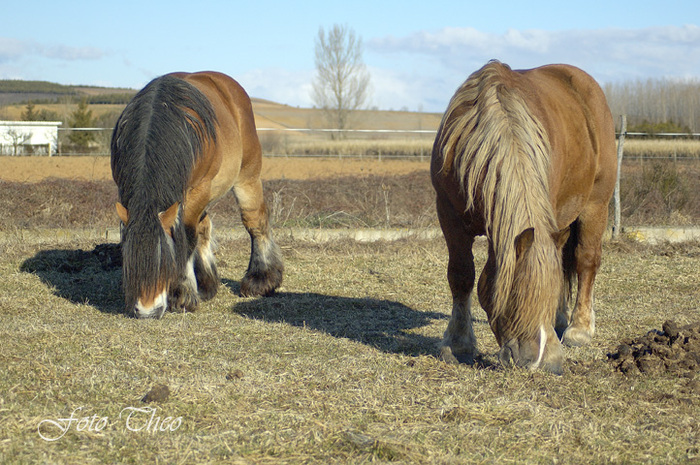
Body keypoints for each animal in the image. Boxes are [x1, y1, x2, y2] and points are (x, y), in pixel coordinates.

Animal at [110, 70, 284, 318]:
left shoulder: (198, 190)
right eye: (130, 258)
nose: (147, 311)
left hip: (246, 176)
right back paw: (206, 283)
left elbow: (185, 236)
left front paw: (181, 293)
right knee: (204, 227)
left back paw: (261, 279)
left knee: (255, 221)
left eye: (165, 260)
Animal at [432, 60, 616, 374]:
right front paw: (458, 344)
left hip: (596, 205)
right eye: (515, 296)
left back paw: (579, 330)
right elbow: (461, 275)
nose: (533, 361)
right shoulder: (449, 216)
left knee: (586, 261)